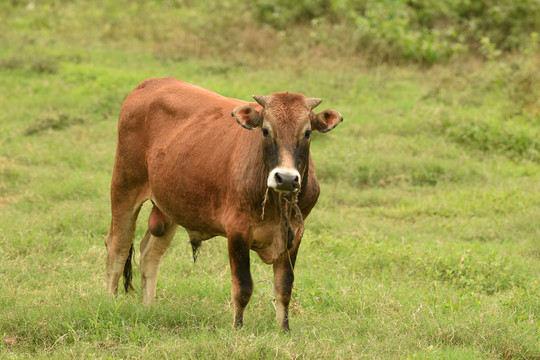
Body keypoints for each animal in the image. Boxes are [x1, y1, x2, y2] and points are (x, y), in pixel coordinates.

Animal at [105, 77, 342, 330]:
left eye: (307, 133)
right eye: (266, 130)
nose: (286, 178)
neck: (278, 204)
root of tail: (150, 83)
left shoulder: (295, 235)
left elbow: (284, 287)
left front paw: (284, 329)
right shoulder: (237, 231)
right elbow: (243, 286)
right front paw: (238, 328)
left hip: (168, 207)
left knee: (150, 254)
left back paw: (148, 307)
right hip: (124, 187)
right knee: (118, 247)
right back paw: (109, 302)